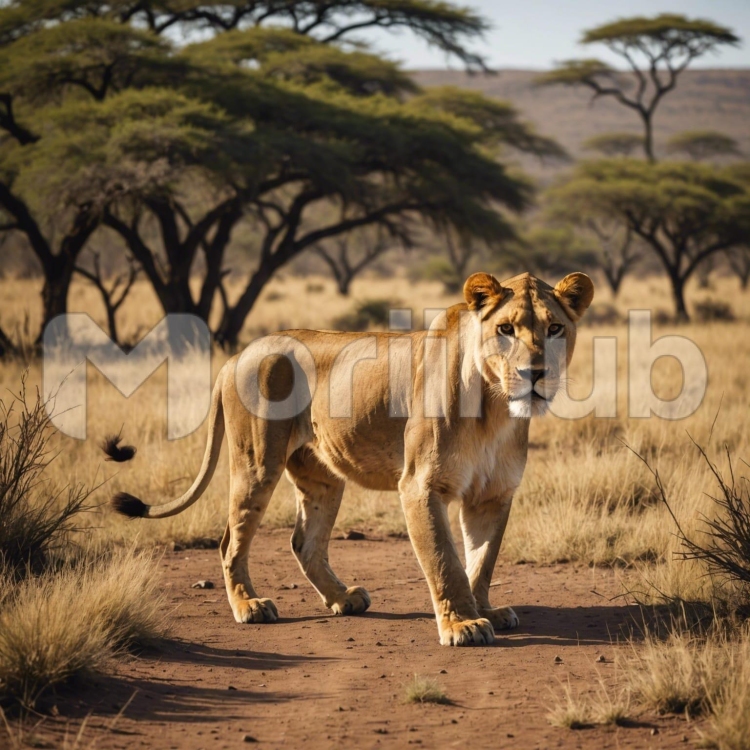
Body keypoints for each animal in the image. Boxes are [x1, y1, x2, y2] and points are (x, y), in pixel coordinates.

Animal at [110, 271, 594, 647]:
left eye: (554, 328)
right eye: (506, 330)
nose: (535, 374)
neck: (496, 409)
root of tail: (235, 356)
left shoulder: (493, 495)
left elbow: (481, 561)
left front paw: (485, 611)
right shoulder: (420, 485)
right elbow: (445, 561)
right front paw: (462, 625)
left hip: (322, 477)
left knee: (304, 542)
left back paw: (344, 599)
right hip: (256, 464)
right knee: (231, 540)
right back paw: (250, 605)